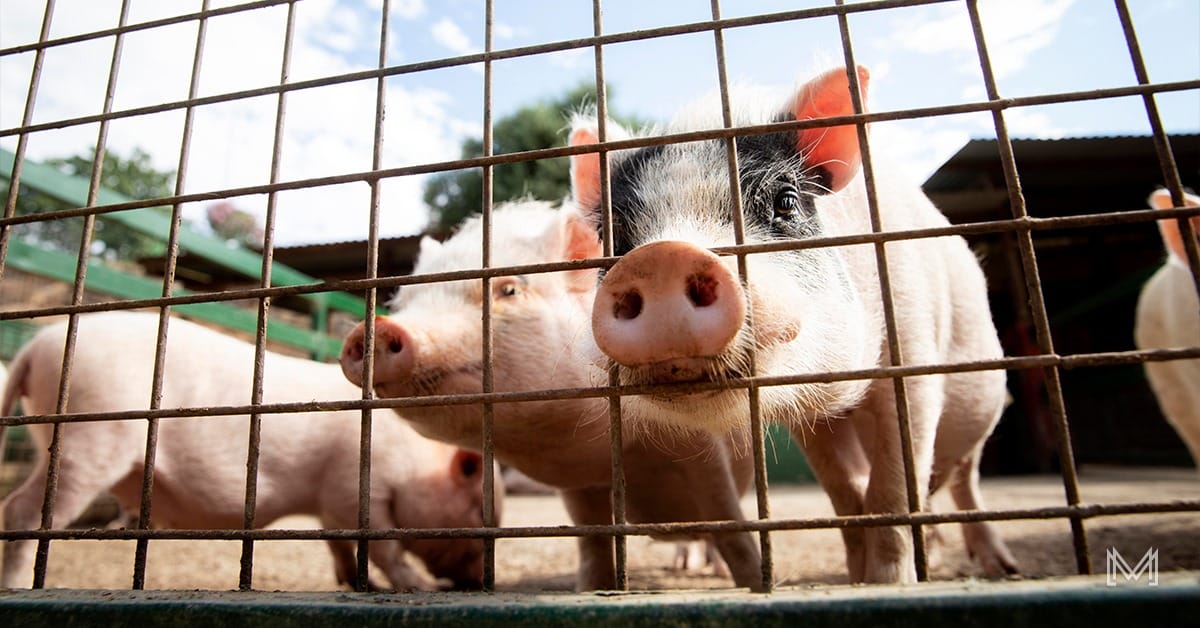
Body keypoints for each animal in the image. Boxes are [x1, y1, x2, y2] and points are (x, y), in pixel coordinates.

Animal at [0, 311, 497, 591]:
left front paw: (357, 585)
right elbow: (383, 545)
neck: (415, 461)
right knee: (21, 509)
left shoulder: (329, 506)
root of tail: (33, 348)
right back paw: (17, 585)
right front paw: (420, 590)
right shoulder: (354, 489)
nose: (476, 582)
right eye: (476, 511)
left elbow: (337, 545)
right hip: (89, 435)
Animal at [341, 200, 764, 591]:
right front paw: (591, 589)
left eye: (509, 290)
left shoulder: (704, 449)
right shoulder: (580, 488)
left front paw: (756, 584)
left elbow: (731, 525)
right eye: (404, 302)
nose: (379, 328)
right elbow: (592, 542)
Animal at [568, 66, 1018, 584]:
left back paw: (1001, 568)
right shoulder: (813, 415)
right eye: (612, 236)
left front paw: (886, 583)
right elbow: (845, 490)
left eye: (785, 201)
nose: (661, 257)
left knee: (965, 480)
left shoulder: (913, 351)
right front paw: (857, 576)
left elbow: (893, 486)